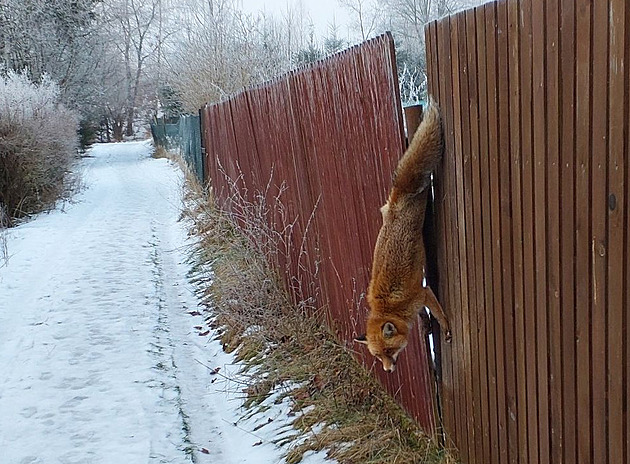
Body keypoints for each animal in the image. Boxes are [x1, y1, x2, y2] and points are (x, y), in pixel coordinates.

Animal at [358, 102, 452, 374]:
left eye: (389, 352)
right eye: (378, 357)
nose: (388, 370)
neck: (390, 308)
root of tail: (399, 193)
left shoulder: (424, 293)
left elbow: (440, 315)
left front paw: (446, 330)